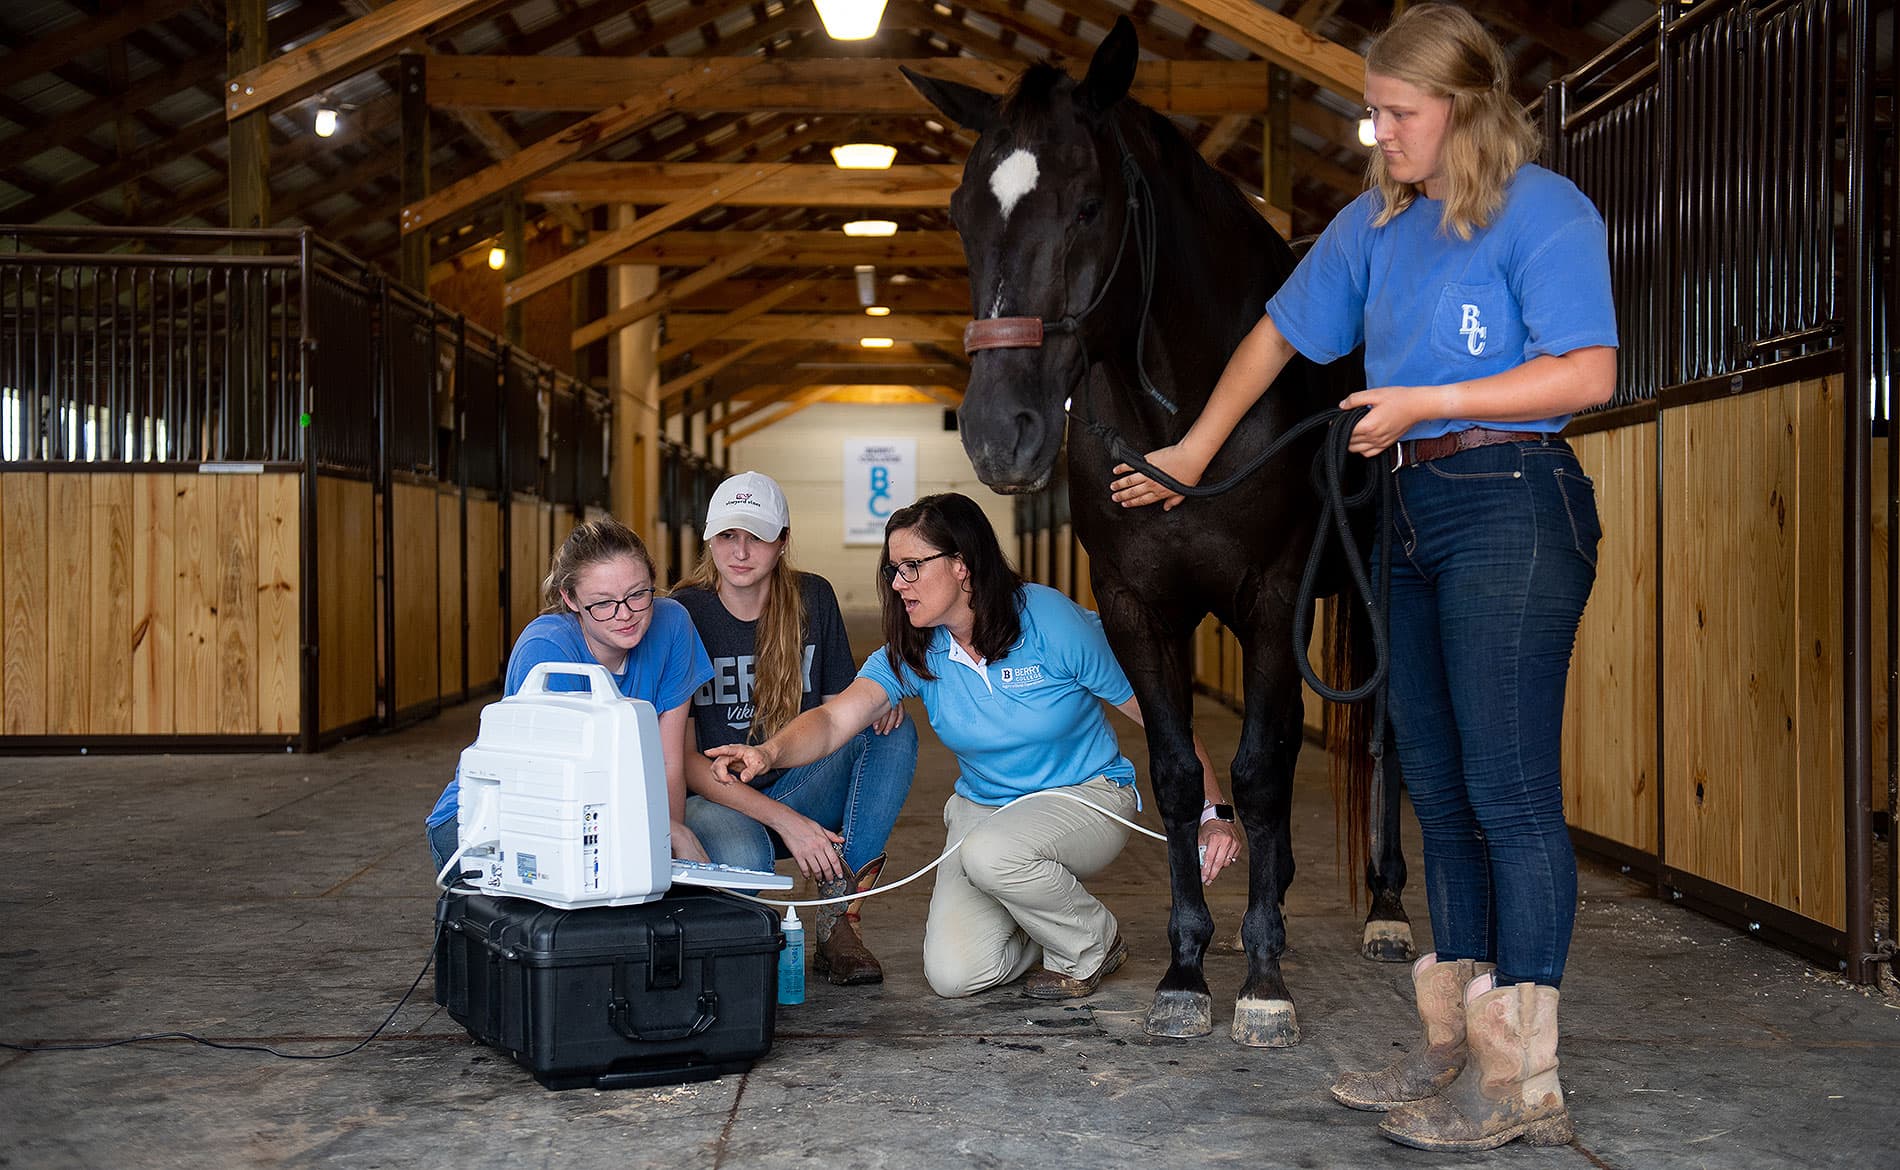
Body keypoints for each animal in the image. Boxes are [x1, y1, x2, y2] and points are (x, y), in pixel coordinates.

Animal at [904, 18, 1413, 1048]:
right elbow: (1184, 776)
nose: (999, 432)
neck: (1193, 414)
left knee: (1384, 736)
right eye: (962, 212)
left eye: (1090, 204)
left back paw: (1384, 910)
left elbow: (1257, 773)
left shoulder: (1273, 597)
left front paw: (1262, 981)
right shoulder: (1138, 605)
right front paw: (1186, 972)